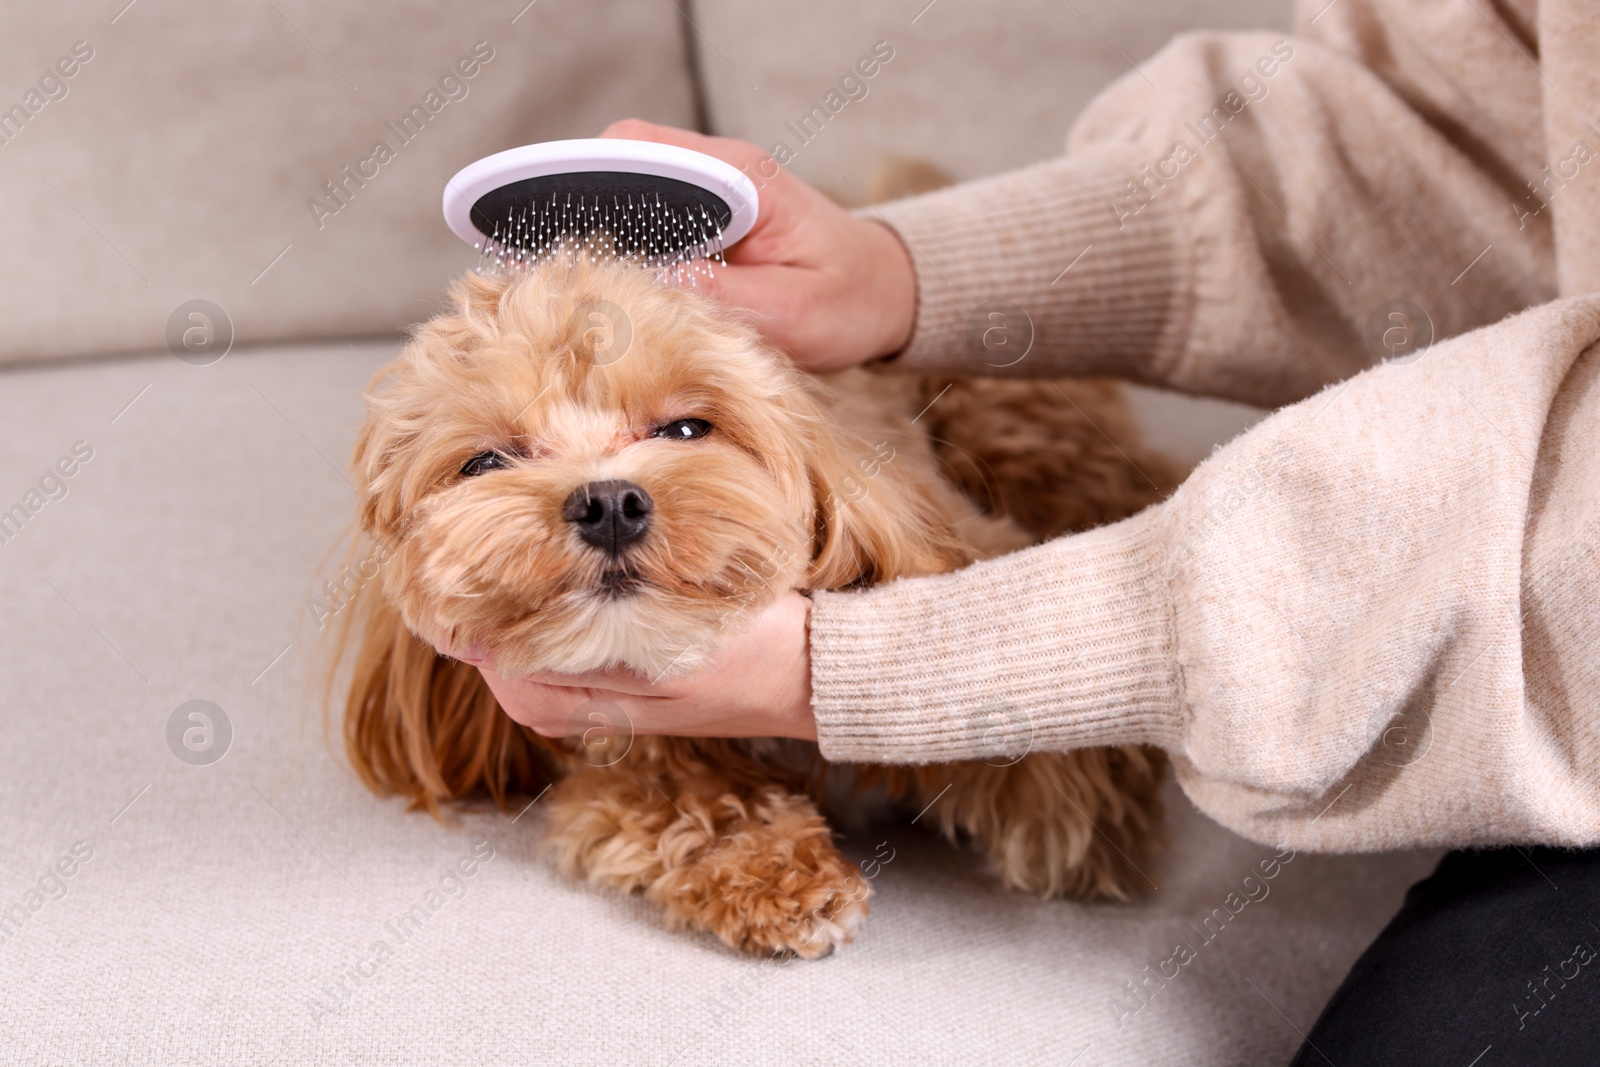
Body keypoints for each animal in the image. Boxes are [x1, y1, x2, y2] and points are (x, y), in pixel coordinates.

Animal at [334, 252, 1177, 959]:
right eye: (485, 462)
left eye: (685, 427)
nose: (609, 503)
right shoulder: (621, 754)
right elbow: (676, 801)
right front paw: (780, 875)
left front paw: (1067, 804)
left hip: (1025, 427)